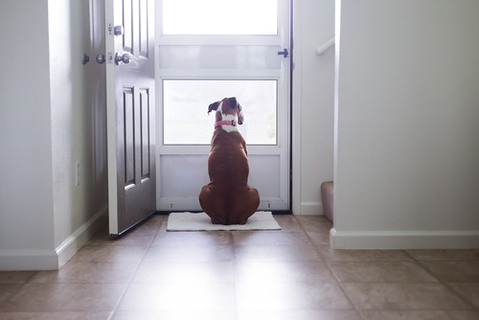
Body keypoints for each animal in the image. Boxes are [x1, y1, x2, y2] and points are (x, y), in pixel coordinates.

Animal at [198, 97, 260, 225]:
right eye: (240, 108)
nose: (243, 117)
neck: (225, 123)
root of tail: (228, 216)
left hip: (203, 190)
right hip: (255, 191)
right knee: (242, 220)